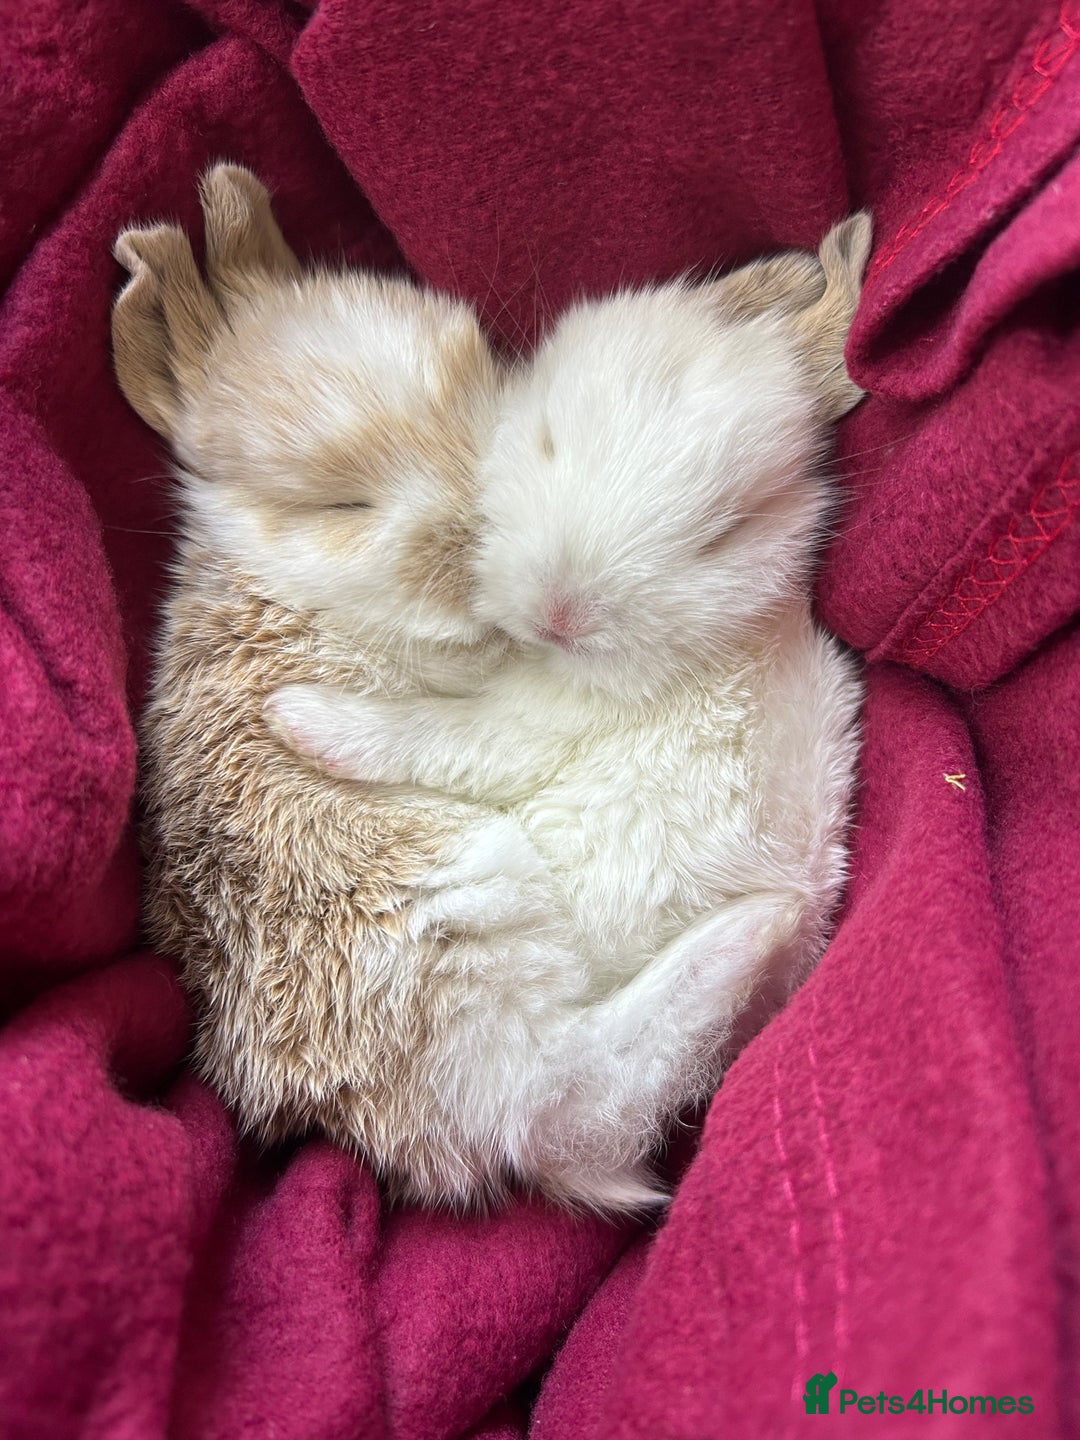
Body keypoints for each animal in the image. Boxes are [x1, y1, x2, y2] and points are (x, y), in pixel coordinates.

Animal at [116, 162, 773, 1214]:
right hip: (469, 910)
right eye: (334, 504)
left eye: (480, 379)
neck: (279, 578)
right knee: (574, 1094)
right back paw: (756, 929)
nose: (478, 542)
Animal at [267, 215, 872, 1125]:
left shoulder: (528, 728)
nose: (564, 612)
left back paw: (757, 924)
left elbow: (434, 733)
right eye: (550, 439)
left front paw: (300, 714)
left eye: (727, 533)